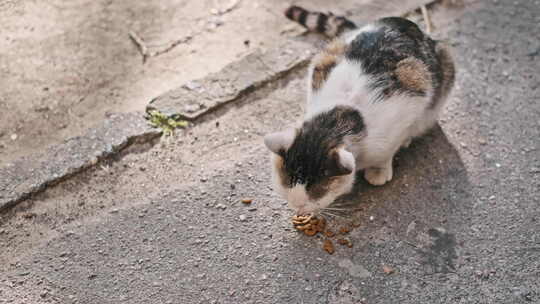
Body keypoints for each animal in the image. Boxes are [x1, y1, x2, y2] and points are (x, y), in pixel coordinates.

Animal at [264, 6, 454, 216]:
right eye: (287, 182)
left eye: (317, 191)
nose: (298, 206)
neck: (336, 118)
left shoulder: (406, 108)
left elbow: (386, 153)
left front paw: (379, 172)